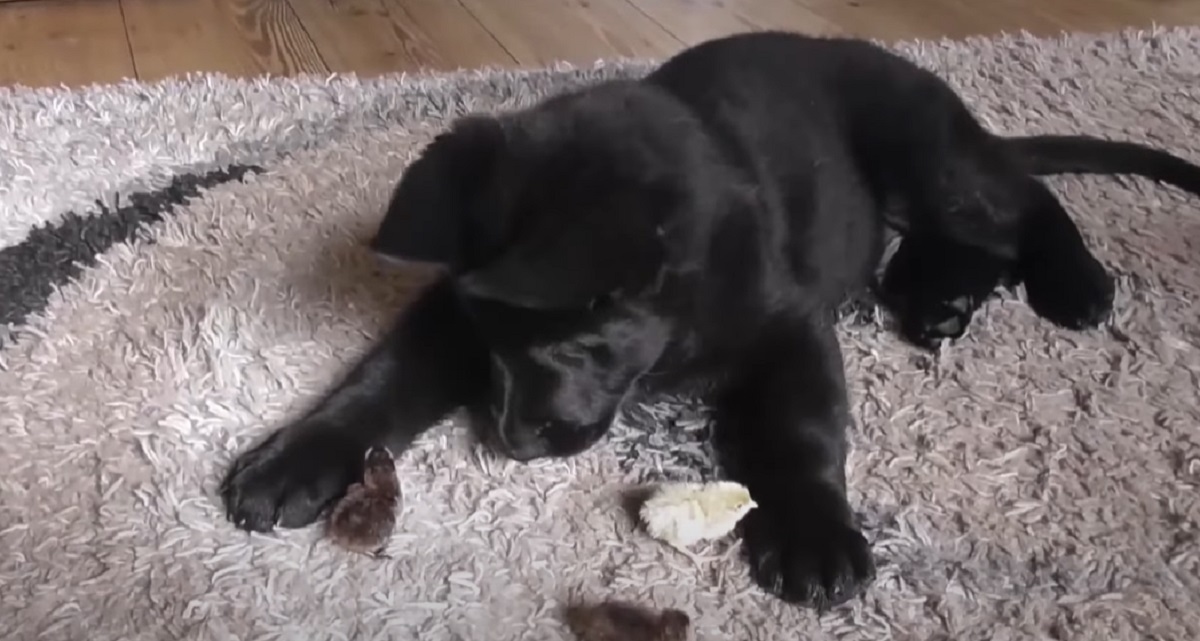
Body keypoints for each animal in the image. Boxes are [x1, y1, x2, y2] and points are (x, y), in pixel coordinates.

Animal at [220, 31, 1200, 612]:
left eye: (578, 332)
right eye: (497, 342)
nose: (508, 440)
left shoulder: (790, 327)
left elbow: (798, 430)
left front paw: (811, 532)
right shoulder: (451, 312)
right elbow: (384, 375)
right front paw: (295, 457)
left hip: (927, 154)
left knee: (1023, 201)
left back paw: (1075, 282)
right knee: (952, 240)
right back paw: (938, 300)